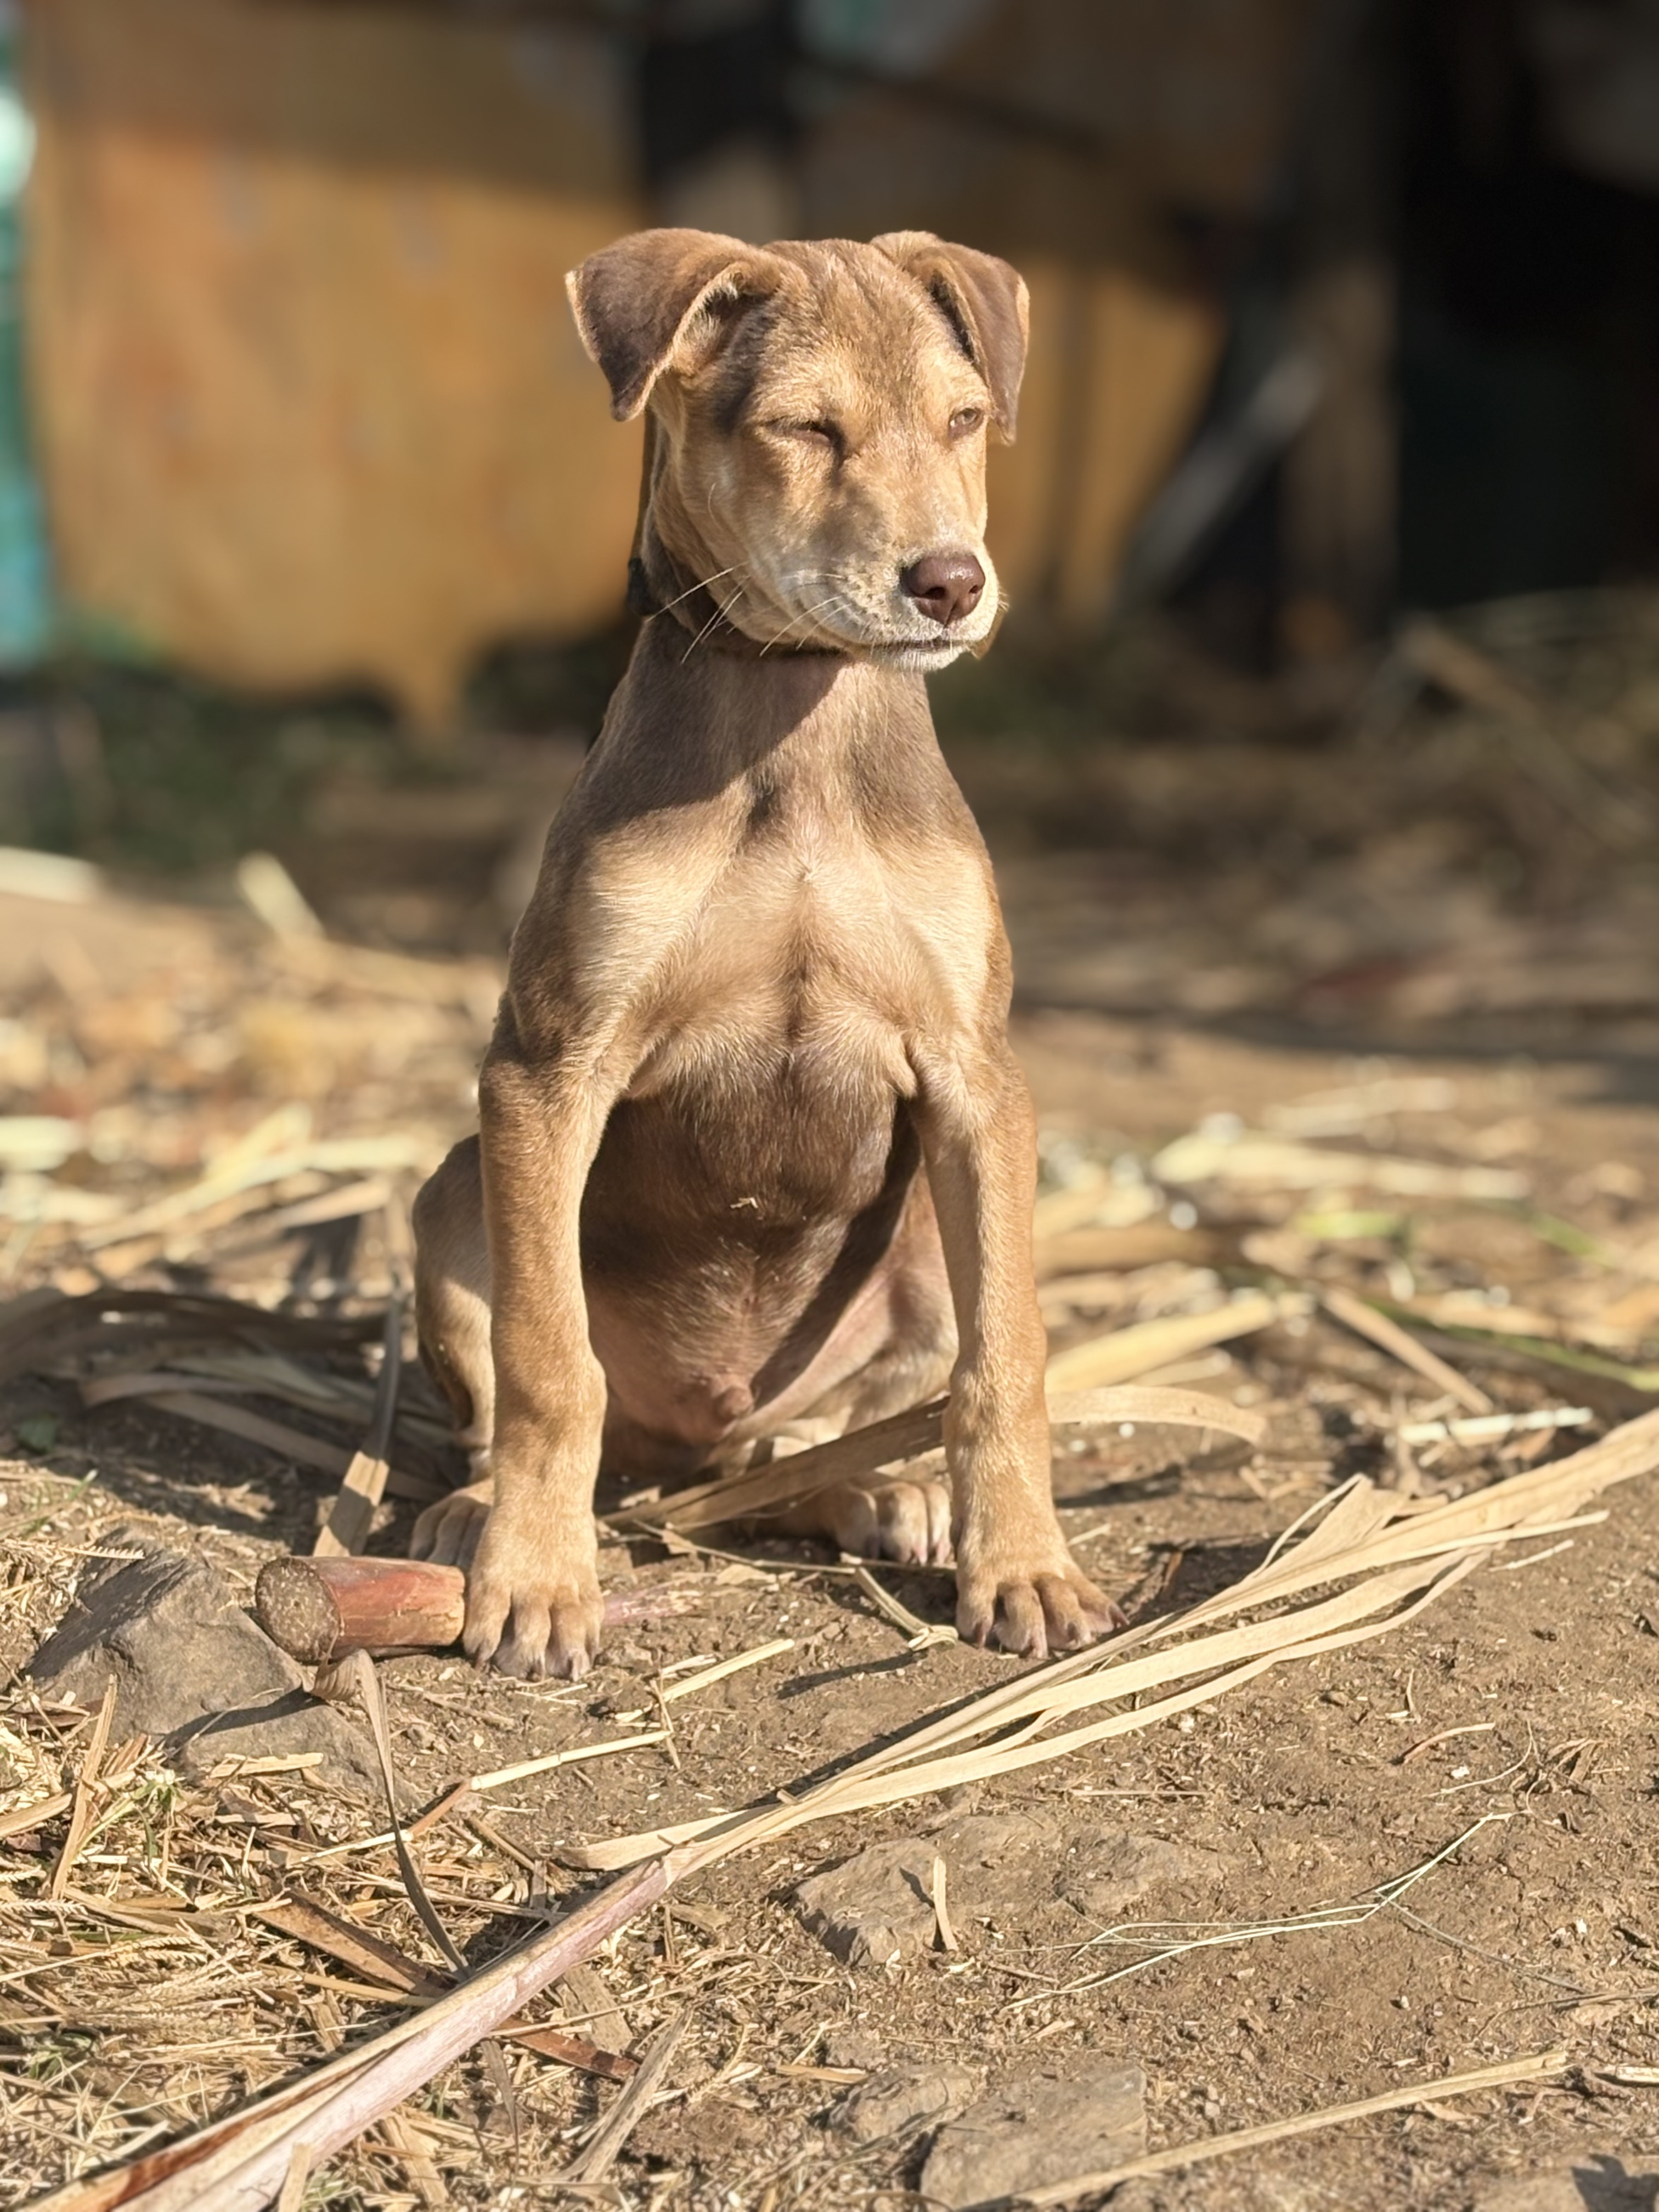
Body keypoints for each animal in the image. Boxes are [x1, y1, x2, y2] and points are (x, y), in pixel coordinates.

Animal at [409, 224, 1124, 1672]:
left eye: (966, 421)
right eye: (804, 428)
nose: (951, 583)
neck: (796, 713)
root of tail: (697, 1440)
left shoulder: (978, 1077)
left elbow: (1007, 1360)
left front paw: (1025, 1568)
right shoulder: (546, 1073)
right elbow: (548, 1362)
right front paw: (537, 1580)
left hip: (916, 1262)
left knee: (805, 1450)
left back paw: (877, 1492)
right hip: (456, 1191)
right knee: (529, 1400)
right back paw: (476, 1515)